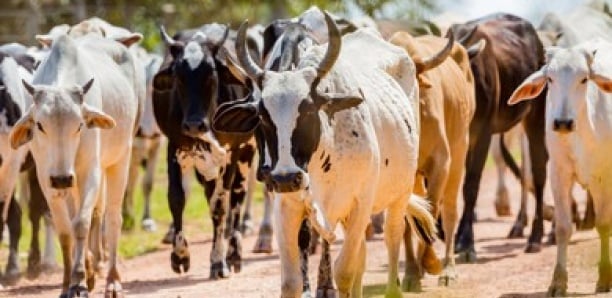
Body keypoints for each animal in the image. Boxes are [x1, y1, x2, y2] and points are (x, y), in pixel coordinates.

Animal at [9, 31, 141, 296]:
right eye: (40, 125)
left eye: (80, 124)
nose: (62, 178)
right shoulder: (46, 178)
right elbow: (65, 230)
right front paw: (69, 282)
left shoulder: (89, 172)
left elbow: (81, 223)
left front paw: (79, 281)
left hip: (120, 159)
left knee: (112, 218)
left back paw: (112, 279)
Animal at [154, 23, 256, 280]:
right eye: (178, 76)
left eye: (211, 74)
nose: (193, 125)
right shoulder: (174, 147)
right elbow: (176, 198)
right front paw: (180, 256)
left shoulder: (230, 153)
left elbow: (220, 206)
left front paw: (219, 261)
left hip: (246, 153)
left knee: (237, 197)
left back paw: (234, 253)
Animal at [388, 29, 482, 288]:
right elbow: (408, 220)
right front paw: (411, 273)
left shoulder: (441, 163)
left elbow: (432, 208)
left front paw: (430, 262)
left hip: (459, 153)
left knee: (448, 211)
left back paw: (448, 269)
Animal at [450, 14, 548, 260]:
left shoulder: (483, 133)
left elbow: (471, 185)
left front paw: (466, 243)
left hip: (535, 117)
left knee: (538, 172)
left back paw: (535, 237)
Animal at [510, 39, 612, 296]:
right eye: (550, 79)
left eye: (584, 79)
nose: (563, 123)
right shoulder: (558, 174)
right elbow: (563, 228)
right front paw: (558, 282)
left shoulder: (604, 177)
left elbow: (604, 224)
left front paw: (605, 276)